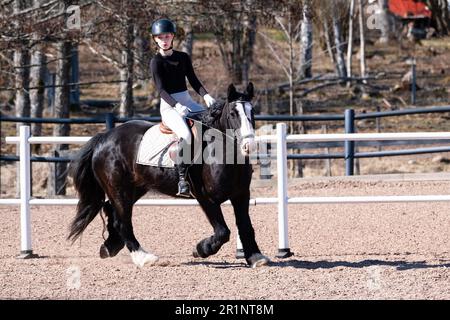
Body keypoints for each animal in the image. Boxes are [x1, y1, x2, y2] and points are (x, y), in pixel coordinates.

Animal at [67, 82, 270, 268]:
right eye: (233, 114)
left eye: (252, 112)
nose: (249, 146)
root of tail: (104, 137)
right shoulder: (206, 198)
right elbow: (222, 232)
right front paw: (200, 249)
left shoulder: (241, 195)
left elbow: (245, 226)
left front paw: (255, 257)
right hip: (119, 189)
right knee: (123, 221)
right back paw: (143, 257)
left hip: (134, 188)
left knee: (113, 212)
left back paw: (110, 247)